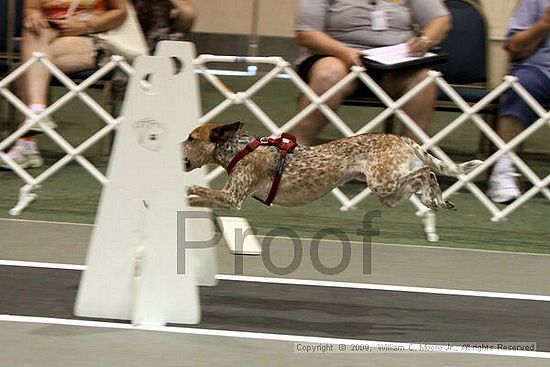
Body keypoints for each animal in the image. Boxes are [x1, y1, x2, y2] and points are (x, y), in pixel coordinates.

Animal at [181, 122, 484, 211]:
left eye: (191, 138)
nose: (177, 147)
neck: (241, 148)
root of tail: (402, 138)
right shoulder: (229, 201)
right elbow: (202, 200)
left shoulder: (232, 197)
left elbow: (197, 189)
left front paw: (188, 191)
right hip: (389, 194)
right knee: (421, 180)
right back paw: (437, 201)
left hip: (382, 182)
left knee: (426, 172)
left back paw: (435, 196)